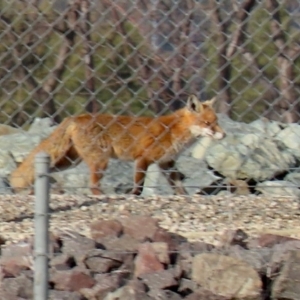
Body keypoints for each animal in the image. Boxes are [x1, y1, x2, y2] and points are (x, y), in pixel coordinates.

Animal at [9, 95, 225, 196]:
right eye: (208, 123)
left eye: (216, 121)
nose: (223, 135)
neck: (174, 131)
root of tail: (75, 117)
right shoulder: (143, 159)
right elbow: (139, 186)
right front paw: (133, 196)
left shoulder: (167, 163)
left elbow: (180, 188)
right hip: (100, 162)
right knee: (93, 186)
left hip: (69, 161)